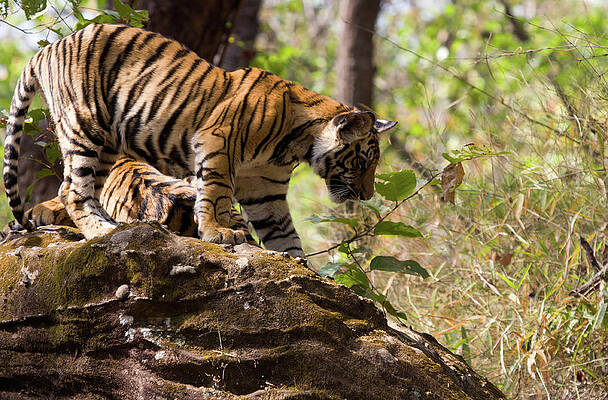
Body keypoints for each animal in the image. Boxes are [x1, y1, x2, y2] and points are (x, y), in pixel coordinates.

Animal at [2, 23, 396, 258]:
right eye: (363, 162)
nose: (366, 196)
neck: (297, 144)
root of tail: (48, 48)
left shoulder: (264, 188)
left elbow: (283, 231)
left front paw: (300, 266)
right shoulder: (217, 143)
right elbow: (216, 193)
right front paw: (218, 232)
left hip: (107, 148)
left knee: (78, 188)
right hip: (85, 125)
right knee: (72, 191)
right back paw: (102, 231)